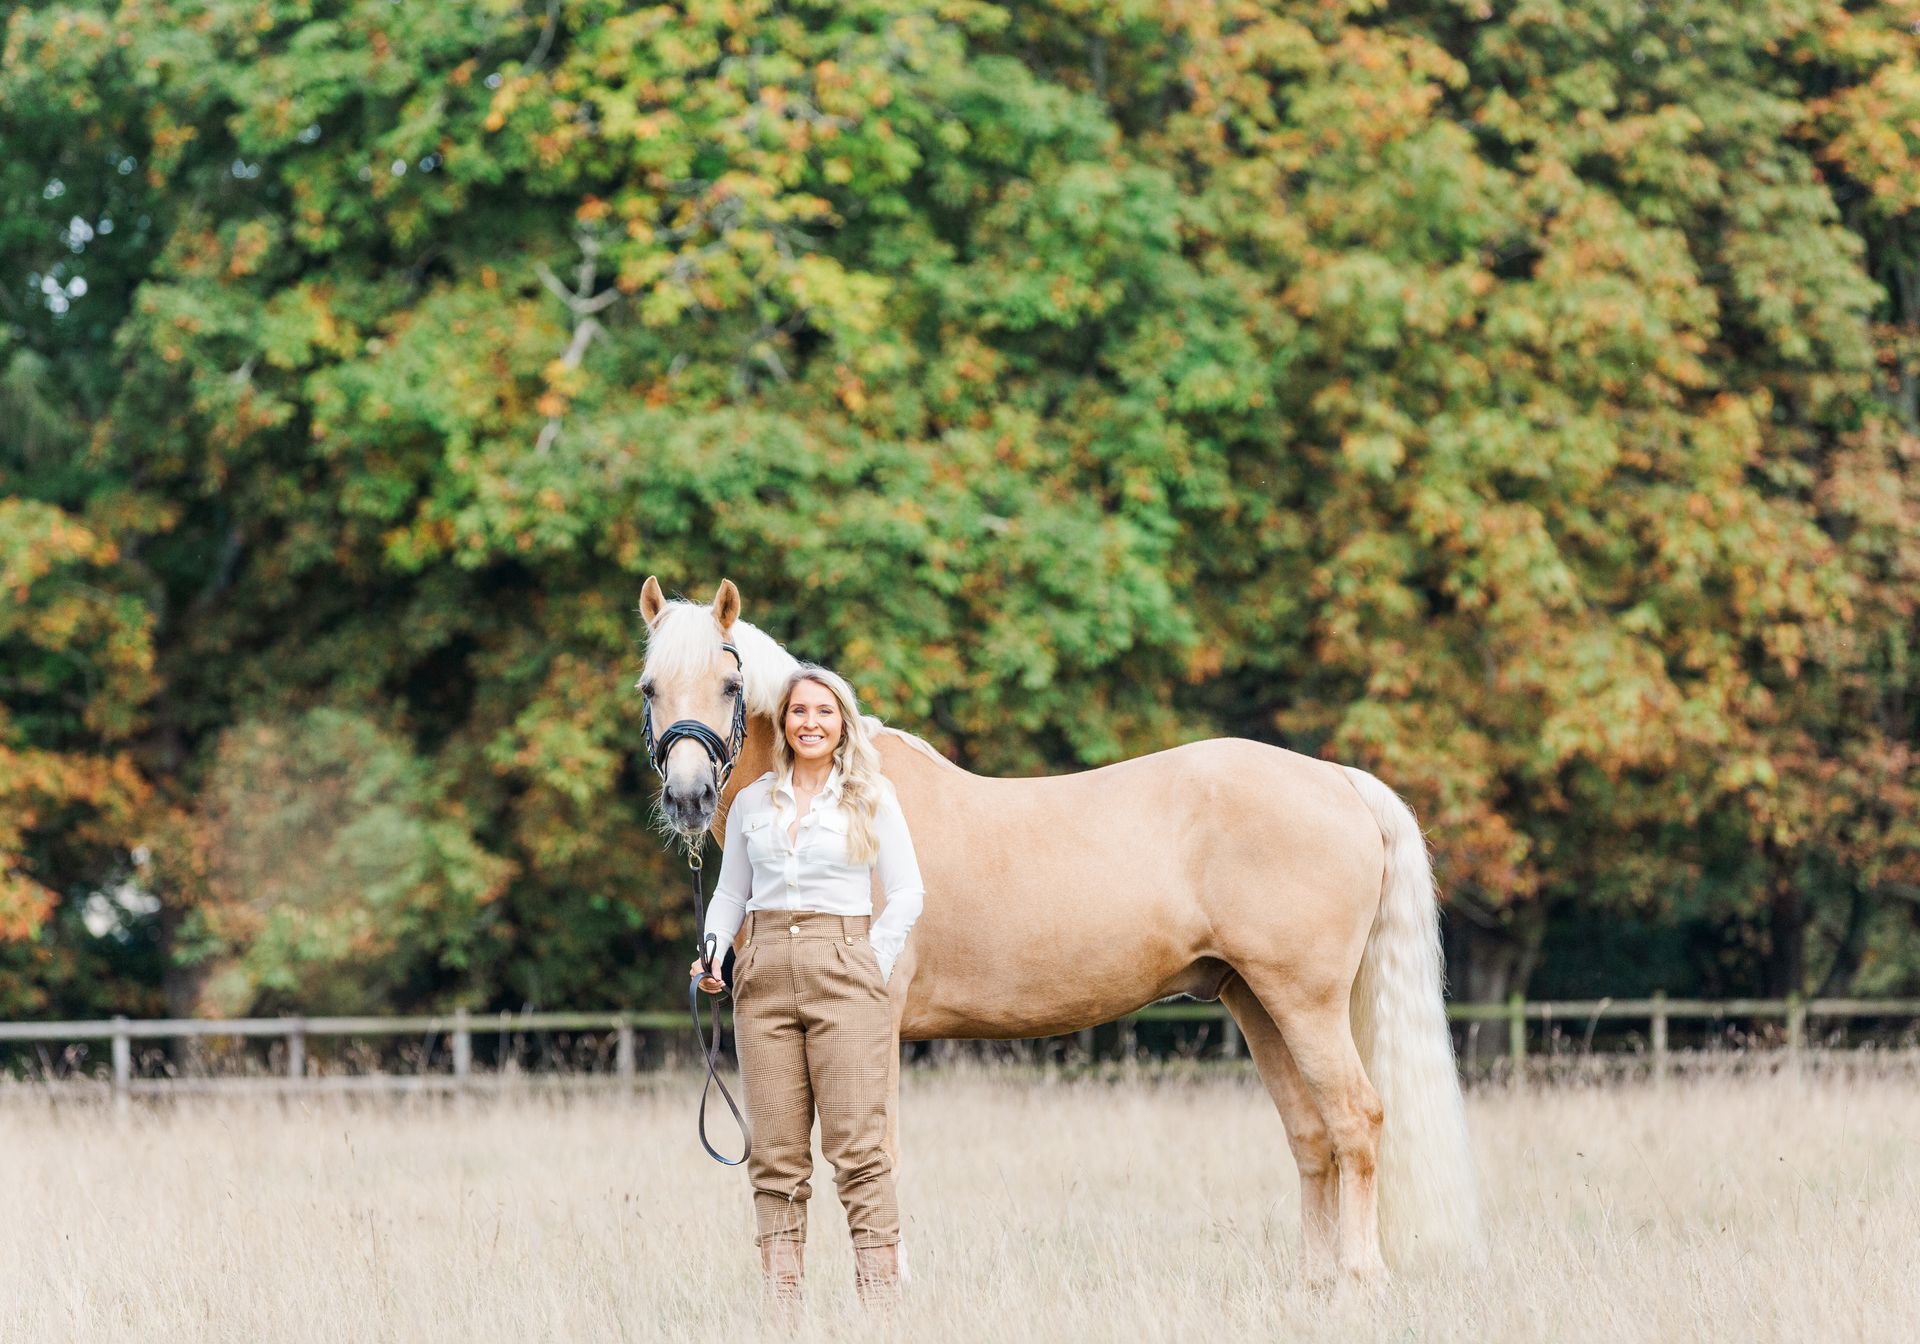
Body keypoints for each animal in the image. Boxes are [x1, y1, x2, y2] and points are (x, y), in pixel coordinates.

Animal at [638, 577, 1480, 1280]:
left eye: (730, 683)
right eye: (650, 687)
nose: (687, 797)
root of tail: (1341, 781)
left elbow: (876, 1149)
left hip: (1304, 1001)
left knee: (1356, 1121)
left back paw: (1358, 1281)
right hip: (1256, 1001)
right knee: (1311, 1135)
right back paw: (1314, 1284)